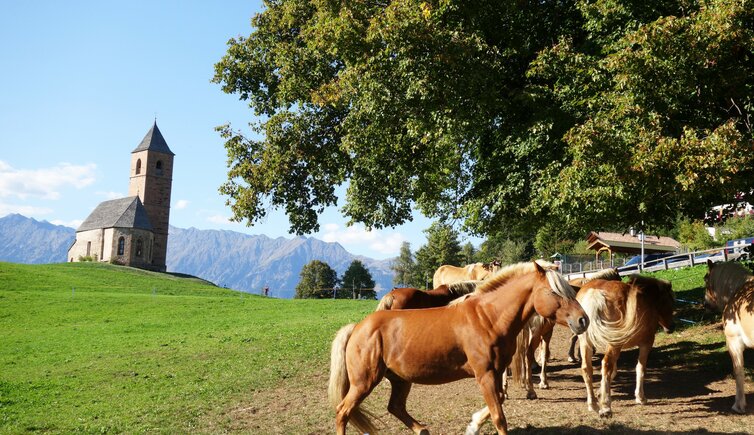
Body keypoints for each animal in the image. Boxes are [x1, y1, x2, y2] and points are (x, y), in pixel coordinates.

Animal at [328, 262, 588, 435]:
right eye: (554, 291)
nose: (582, 320)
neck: (488, 318)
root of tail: (357, 327)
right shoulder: (485, 375)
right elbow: (499, 417)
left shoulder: (495, 374)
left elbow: (500, 400)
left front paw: (473, 425)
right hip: (364, 381)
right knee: (343, 412)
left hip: (400, 379)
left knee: (395, 407)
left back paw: (422, 429)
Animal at [572, 276, 672, 418]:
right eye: (670, 302)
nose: (671, 327)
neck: (648, 300)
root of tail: (595, 294)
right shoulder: (646, 344)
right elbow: (640, 368)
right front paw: (640, 398)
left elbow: (614, 371)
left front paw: (600, 392)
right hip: (613, 344)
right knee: (606, 365)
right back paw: (606, 408)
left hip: (586, 342)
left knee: (587, 369)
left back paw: (593, 405)